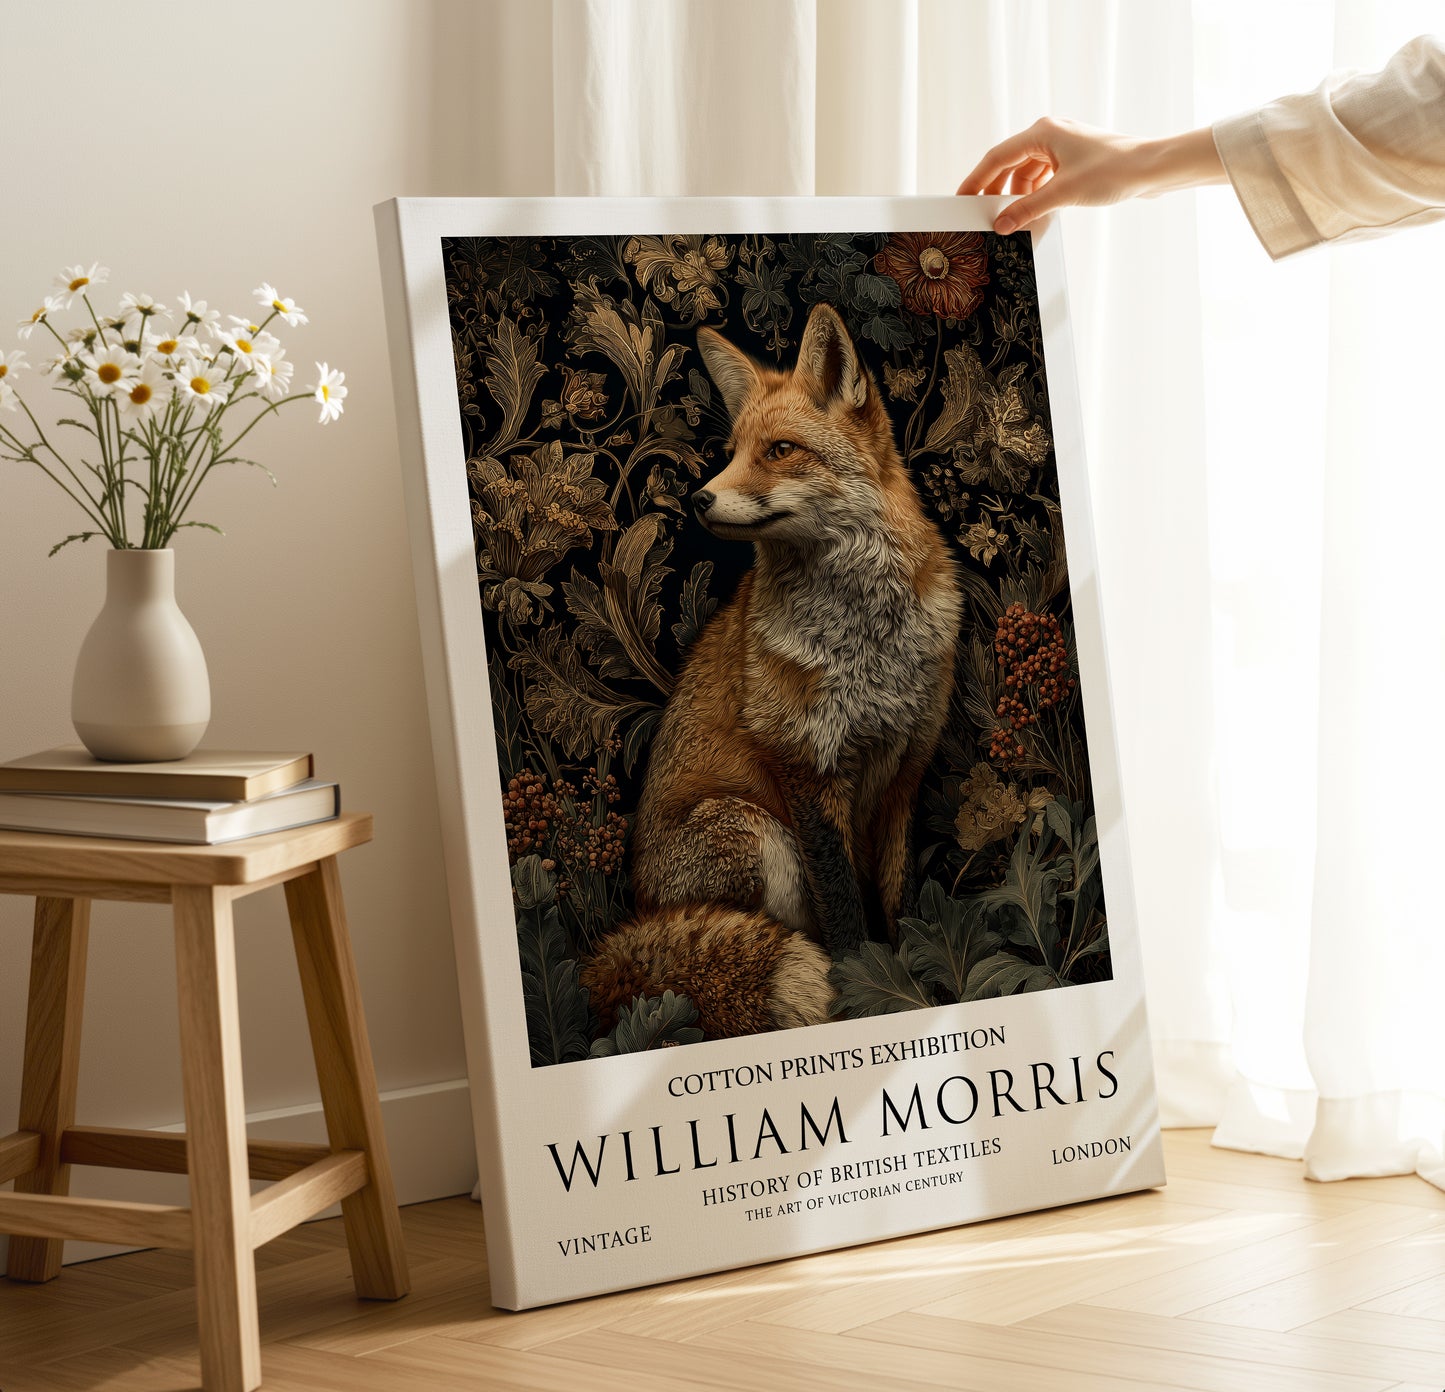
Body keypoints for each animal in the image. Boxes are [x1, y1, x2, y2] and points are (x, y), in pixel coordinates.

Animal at [582, 301, 962, 1035]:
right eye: (732, 453)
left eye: (780, 450)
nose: (699, 500)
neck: (866, 641)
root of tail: (638, 914)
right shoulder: (807, 769)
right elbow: (845, 915)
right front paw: (866, 990)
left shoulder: (905, 769)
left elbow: (894, 901)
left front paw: (907, 971)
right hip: (757, 833)